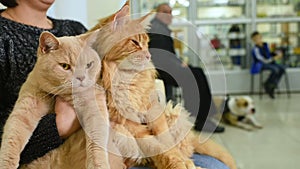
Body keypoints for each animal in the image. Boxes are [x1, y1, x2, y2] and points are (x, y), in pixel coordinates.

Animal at [0, 30, 110, 169]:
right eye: (65, 66)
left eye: (88, 65)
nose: (81, 78)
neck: (67, 96)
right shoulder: (25, 109)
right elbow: (13, 135)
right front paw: (6, 164)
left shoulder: (95, 110)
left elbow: (96, 139)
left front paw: (98, 165)